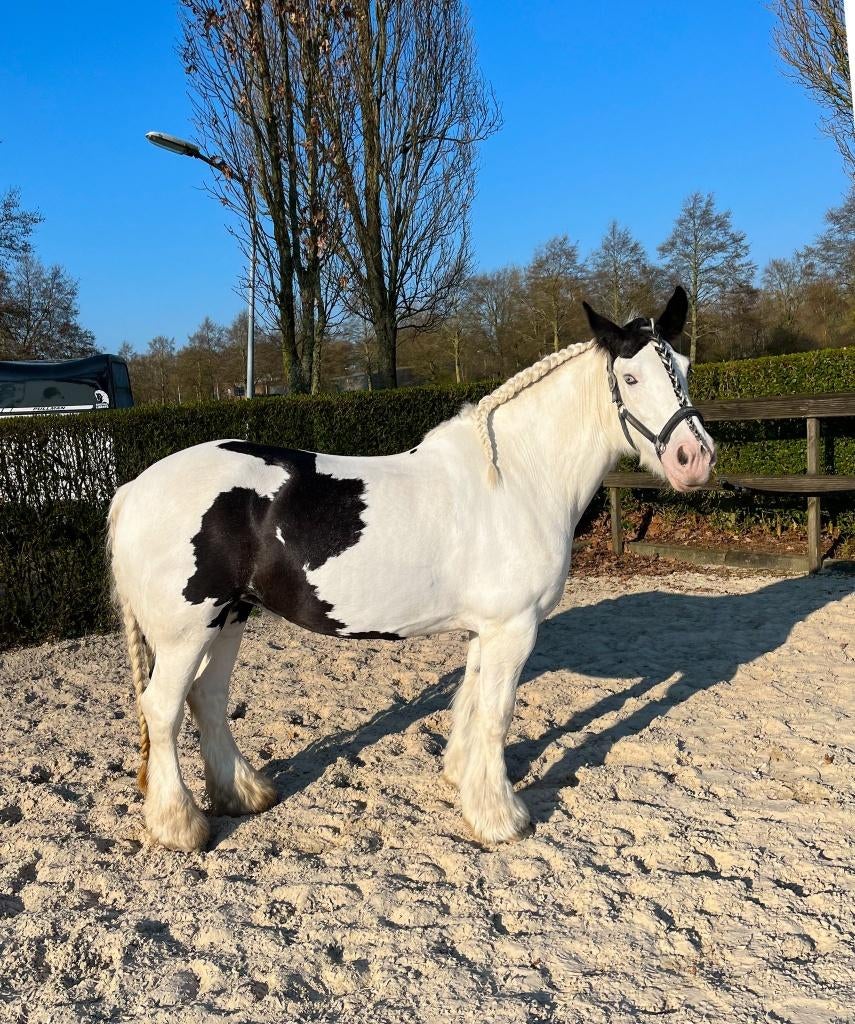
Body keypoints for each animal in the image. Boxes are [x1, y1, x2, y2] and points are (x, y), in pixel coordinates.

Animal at [108, 286, 716, 851]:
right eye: (630, 378)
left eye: (686, 368)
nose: (694, 459)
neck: (518, 479)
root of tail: (134, 488)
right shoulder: (514, 629)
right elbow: (496, 714)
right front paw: (502, 818)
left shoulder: (488, 630)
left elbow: (470, 703)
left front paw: (464, 783)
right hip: (187, 632)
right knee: (162, 708)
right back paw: (180, 826)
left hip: (230, 617)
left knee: (206, 700)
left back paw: (244, 794)